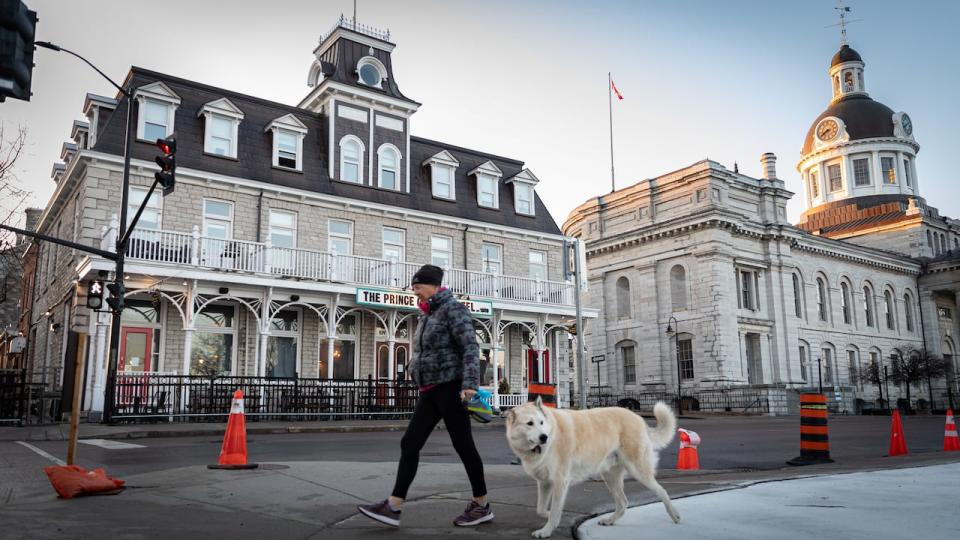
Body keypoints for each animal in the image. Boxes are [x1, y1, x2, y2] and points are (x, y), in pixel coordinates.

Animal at [502, 396, 684, 536]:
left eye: (541, 422)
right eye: (529, 423)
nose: (544, 437)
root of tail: (639, 418)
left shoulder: (561, 481)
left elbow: (554, 511)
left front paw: (546, 530)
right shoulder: (545, 483)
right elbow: (541, 509)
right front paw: (548, 516)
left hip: (638, 470)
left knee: (661, 491)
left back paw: (675, 515)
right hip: (610, 477)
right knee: (623, 503)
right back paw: (610, 520)